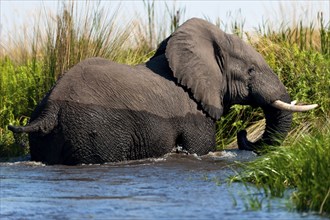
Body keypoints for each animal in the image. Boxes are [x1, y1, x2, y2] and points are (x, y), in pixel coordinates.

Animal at [8, 17, 318, 165]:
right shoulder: (195, 116)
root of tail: (49, 110)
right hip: (93, 132)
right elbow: (200, 148)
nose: (244, 135)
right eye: (251, 71)